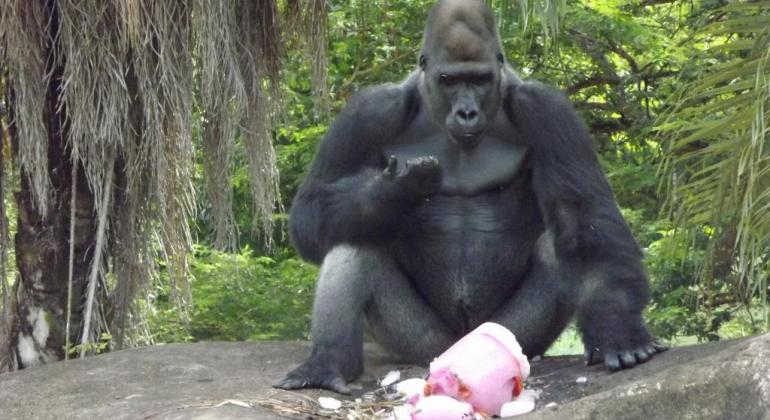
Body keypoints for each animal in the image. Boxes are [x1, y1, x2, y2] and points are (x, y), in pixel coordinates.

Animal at [272, 0, 664, 394]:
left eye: (479, 80)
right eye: (450, 80)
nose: (466, 112)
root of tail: (454, 344)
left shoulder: (547, 110)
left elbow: (582, 217)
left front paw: (618, 327)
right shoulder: (368, 111)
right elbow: (308, 212)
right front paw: (395, 188)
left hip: (512, 336)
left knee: (559, 244)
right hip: (421, 344)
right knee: (351, 236)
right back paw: (328, 361)